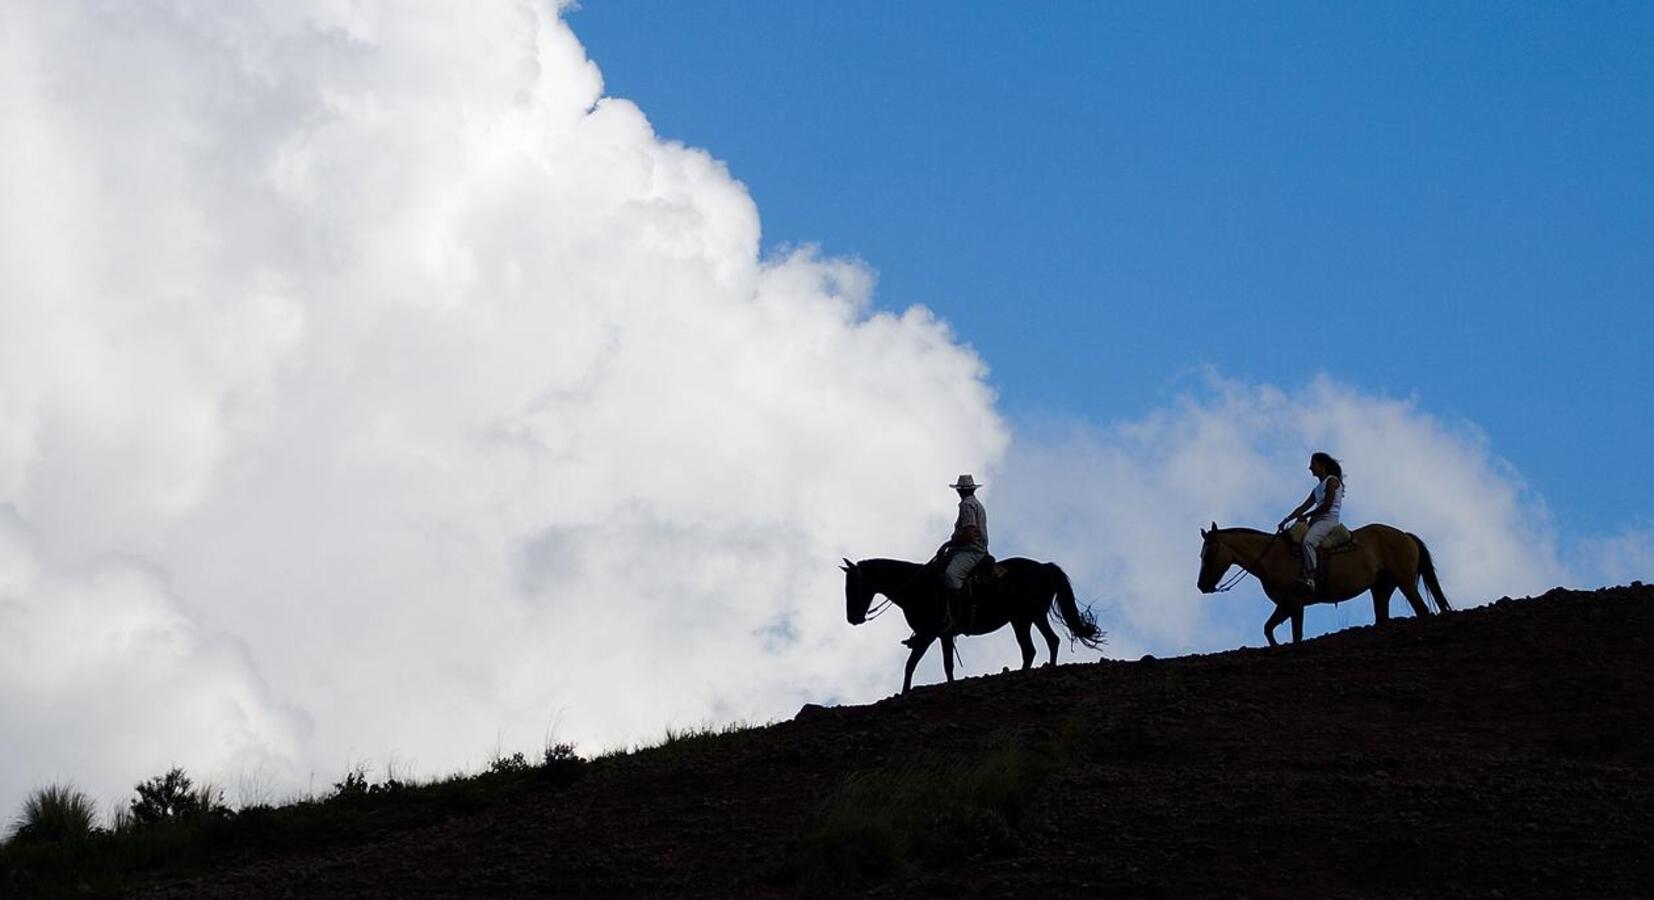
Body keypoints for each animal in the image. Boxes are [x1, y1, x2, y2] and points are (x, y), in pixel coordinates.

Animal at [846, 555, 1104, 694]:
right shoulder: (930, 635)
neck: (918, 588)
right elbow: (913, 665)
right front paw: (904, 692)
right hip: (1027, 619)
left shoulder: (934, 634)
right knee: (1043, 644)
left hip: (1027, 618)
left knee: (1039, 646)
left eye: (853, 586)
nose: (852, 619)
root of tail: (1044, 567)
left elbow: (944, 665)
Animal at [1197, 519, 1455, 648]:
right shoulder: (1285, 605)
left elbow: (1297, 635)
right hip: (1381, 589)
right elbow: (1268, 629)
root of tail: (1405, 535)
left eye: (1210, 552)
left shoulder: (1295, 604)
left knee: (1422, 611)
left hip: (1406, 583)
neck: (1273, 556)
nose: (1202, 585)